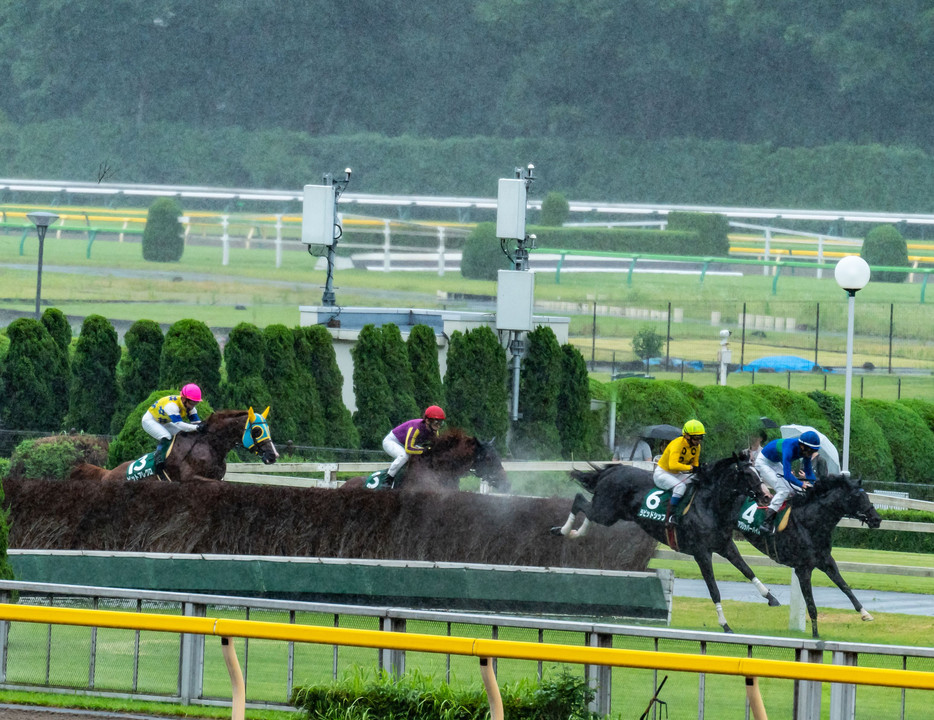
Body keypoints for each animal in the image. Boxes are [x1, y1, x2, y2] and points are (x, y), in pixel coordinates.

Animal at [552, 458, 780, 632]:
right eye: (748, 474)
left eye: (758, 472)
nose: (766, 495)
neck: (709, 505)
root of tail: (613, 469)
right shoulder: (701, 553)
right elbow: (714, 589)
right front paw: (725, 624)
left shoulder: (725, 546)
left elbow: (748, 570)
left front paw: (771, 597)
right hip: (606, 510)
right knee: (579, 500)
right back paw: (562, 530)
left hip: (611, 513)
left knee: (588, 511)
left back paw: (575, 532)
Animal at [740, 476, 884, 640]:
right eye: (857, 496)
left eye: (867, 496)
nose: (877, 519)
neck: (810, 522)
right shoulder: (803, 569)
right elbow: (811, 604)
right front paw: (815, 635)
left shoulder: (826, 561)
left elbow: (845, 586)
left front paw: (865, 613)